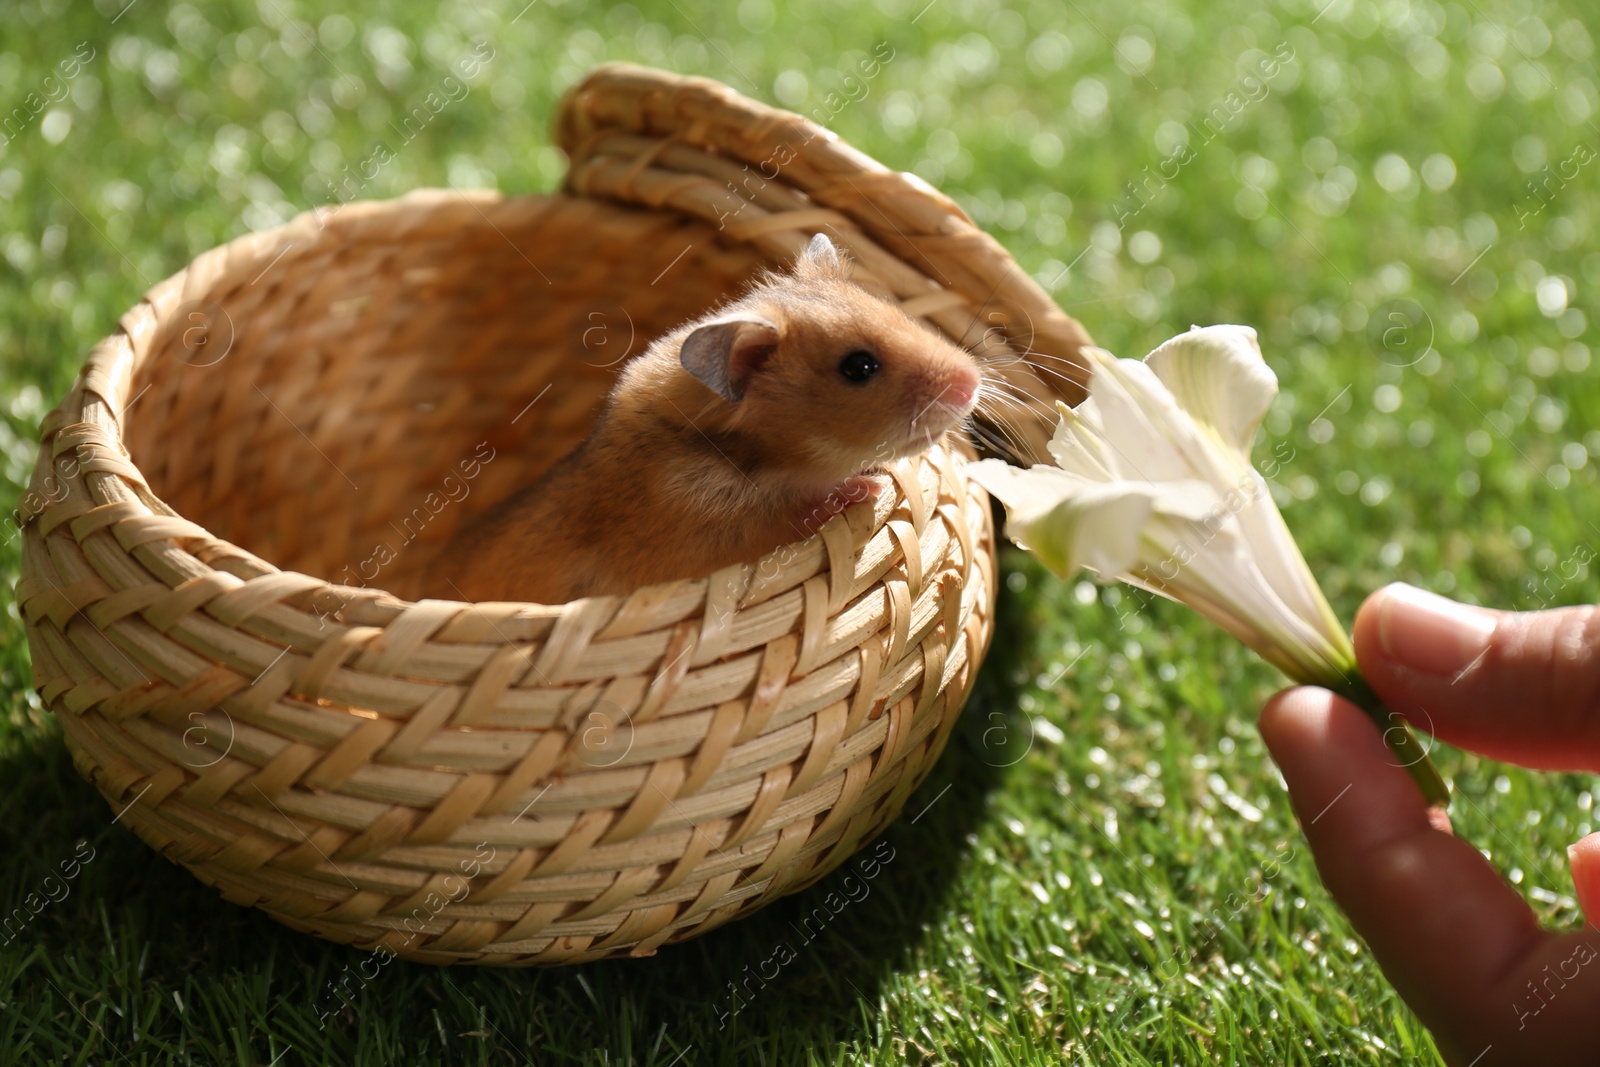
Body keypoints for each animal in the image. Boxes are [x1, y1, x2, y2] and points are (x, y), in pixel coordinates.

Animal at [444, 231, 979, 604]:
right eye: (859, 367)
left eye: (894, 311)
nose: (972, 383)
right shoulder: (712, 526)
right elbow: (797, 513)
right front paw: (865, 488)